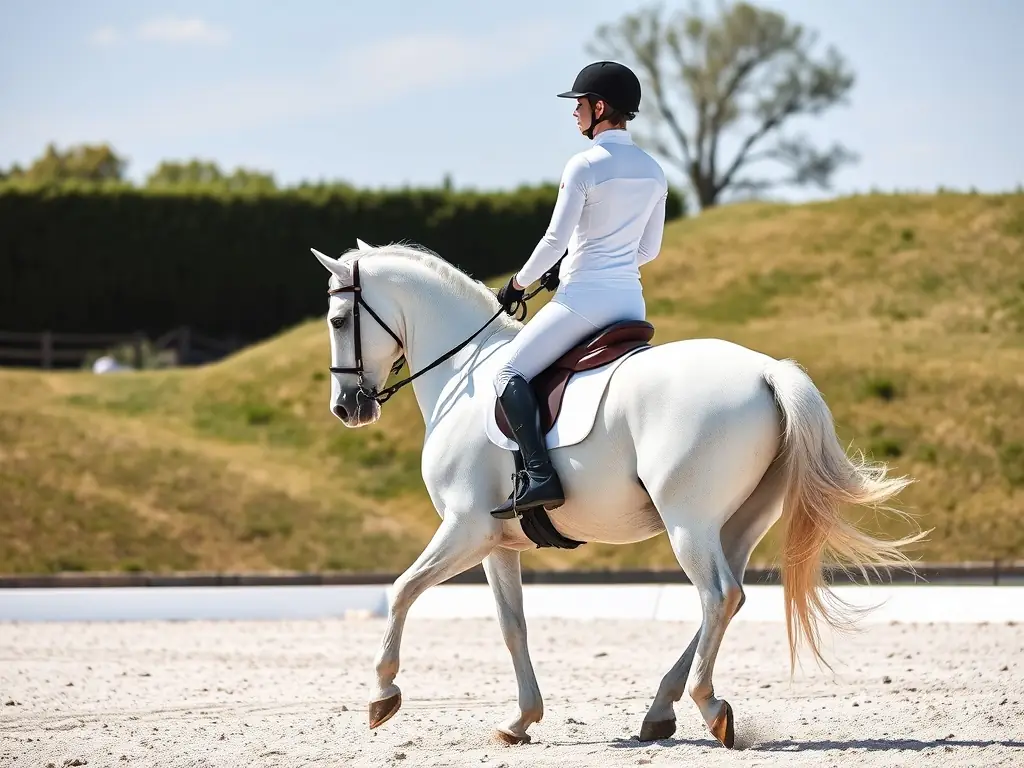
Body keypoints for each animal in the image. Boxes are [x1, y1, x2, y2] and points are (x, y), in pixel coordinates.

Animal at [310, 240, 922, 748]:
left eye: (339, 319)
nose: (346, 408)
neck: (466, 373)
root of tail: (767, 372)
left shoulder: (466, 528)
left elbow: (401, 590)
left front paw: (382, 696)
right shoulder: (498, 543)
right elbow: (512, 626)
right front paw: (520, 720)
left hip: (687, 521)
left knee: (719, 595)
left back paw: (709, 706)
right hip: (736, 524)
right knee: (729, 598)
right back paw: (661, 711)